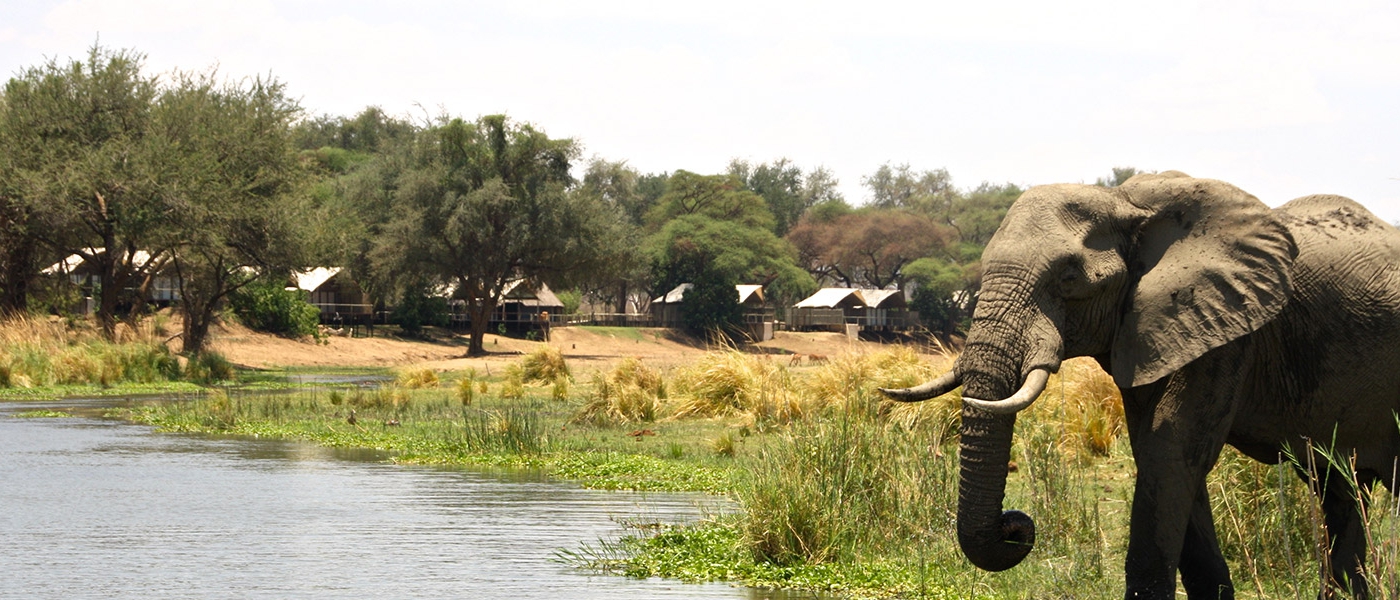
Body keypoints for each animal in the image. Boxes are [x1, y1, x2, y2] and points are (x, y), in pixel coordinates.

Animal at [881, 171, 1400, 599]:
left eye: (1068, 276)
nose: (1016, 525)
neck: (1125, 202)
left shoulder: (1228, 334)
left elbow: (1168, 452)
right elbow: (1167, 459)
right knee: (1341, 490)